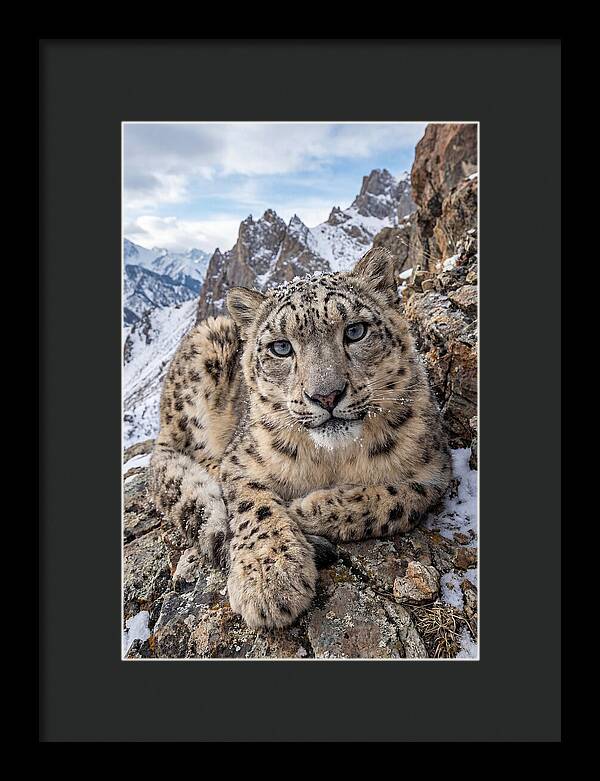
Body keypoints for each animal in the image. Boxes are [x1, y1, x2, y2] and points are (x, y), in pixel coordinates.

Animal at [148, 248, 452, 629]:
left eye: (355, 331)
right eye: (281, 347)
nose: (326, 395)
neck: (333, 459)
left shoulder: (434, 470)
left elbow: (397, 499)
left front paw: (306, 509)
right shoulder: (240, 461)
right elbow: (254, 506)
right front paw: (269, 579)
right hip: (202, 360)